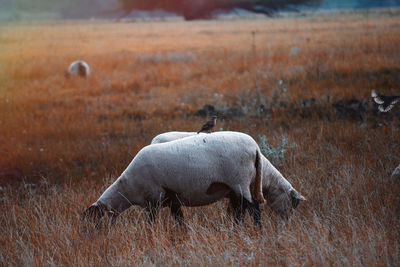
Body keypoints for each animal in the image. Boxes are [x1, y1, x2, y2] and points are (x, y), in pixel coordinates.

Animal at [151, 131, 306, 224]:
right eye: (293, 204)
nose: (284, 224)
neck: (266, 176)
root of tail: (154, 140)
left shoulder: (233, 193)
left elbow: (235, 212)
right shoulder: (238, 188)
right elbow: (242, 212)